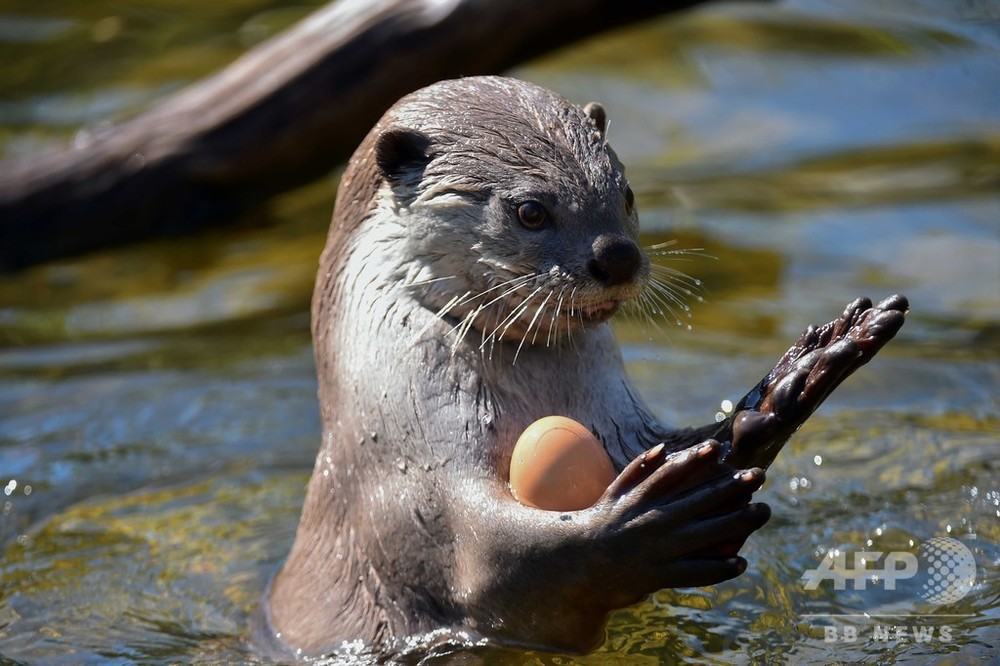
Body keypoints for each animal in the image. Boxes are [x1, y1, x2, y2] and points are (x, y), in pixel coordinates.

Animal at [260, 75, 908, 656]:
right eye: (529, 211)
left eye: (626, 196)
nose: (617, 255)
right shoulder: (412, 488)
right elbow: (506, 568)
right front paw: (644, 525)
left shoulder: (623, 425)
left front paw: (794, 381)